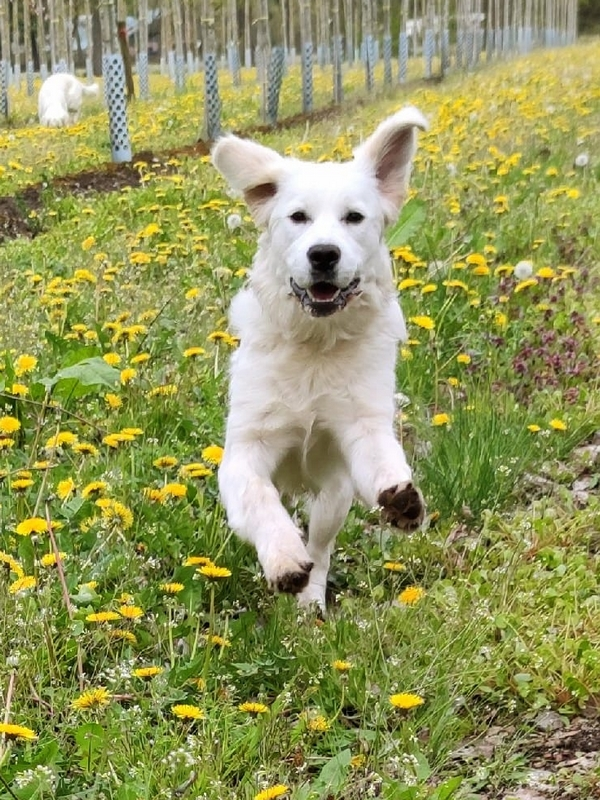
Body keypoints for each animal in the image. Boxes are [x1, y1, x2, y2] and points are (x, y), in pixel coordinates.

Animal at [213, 108, 428, 612]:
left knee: (322, 545)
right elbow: (259, 499)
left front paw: (402, 501)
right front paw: (282, 558)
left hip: (333, 496)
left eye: (354, 217)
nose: (324, 254)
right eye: (298, 217)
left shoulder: (360, 426)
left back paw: (311, 602)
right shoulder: (245, 450)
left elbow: (382, 459)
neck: (314, 345)